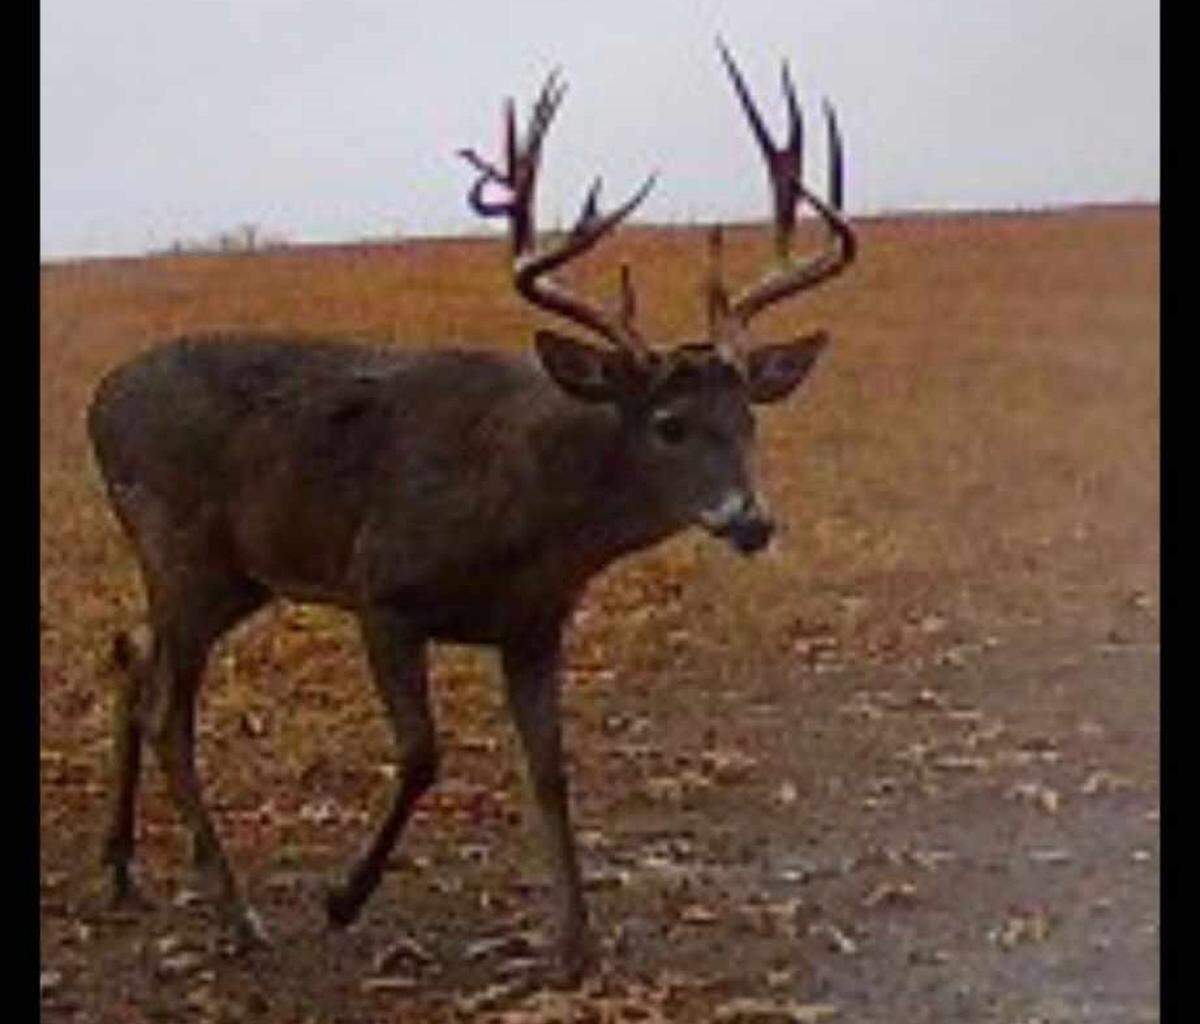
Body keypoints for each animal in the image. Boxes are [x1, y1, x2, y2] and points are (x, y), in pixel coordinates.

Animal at [86, 41, 856, 984]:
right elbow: (424, 755)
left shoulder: (534, 625)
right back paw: (237, 916)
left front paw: (575, 945)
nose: (752, 520)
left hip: (230, 576)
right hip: (182, 548)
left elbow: (551, 770)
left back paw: (123, 871)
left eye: (748, 419)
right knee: (167, 709)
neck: (529, 519)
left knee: (131, 658)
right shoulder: (382, 590)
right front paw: (342, 899)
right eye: (670, 424)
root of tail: (98, 402)